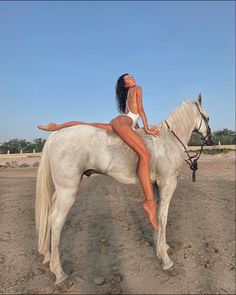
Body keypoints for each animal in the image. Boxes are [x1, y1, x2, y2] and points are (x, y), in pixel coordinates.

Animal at [36, 94, 213, 284]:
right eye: (207, 117)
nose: (210, 137)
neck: (168, 141)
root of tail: (55, 136)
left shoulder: (156, 184)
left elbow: (157, 214)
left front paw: (160, 245)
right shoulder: (168, 183)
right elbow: (163, 217)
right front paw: (165, 259)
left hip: (59, 191)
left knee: (50, 217)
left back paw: (47, 255)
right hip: (67, 191)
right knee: (56, 221)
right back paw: (59, 273)